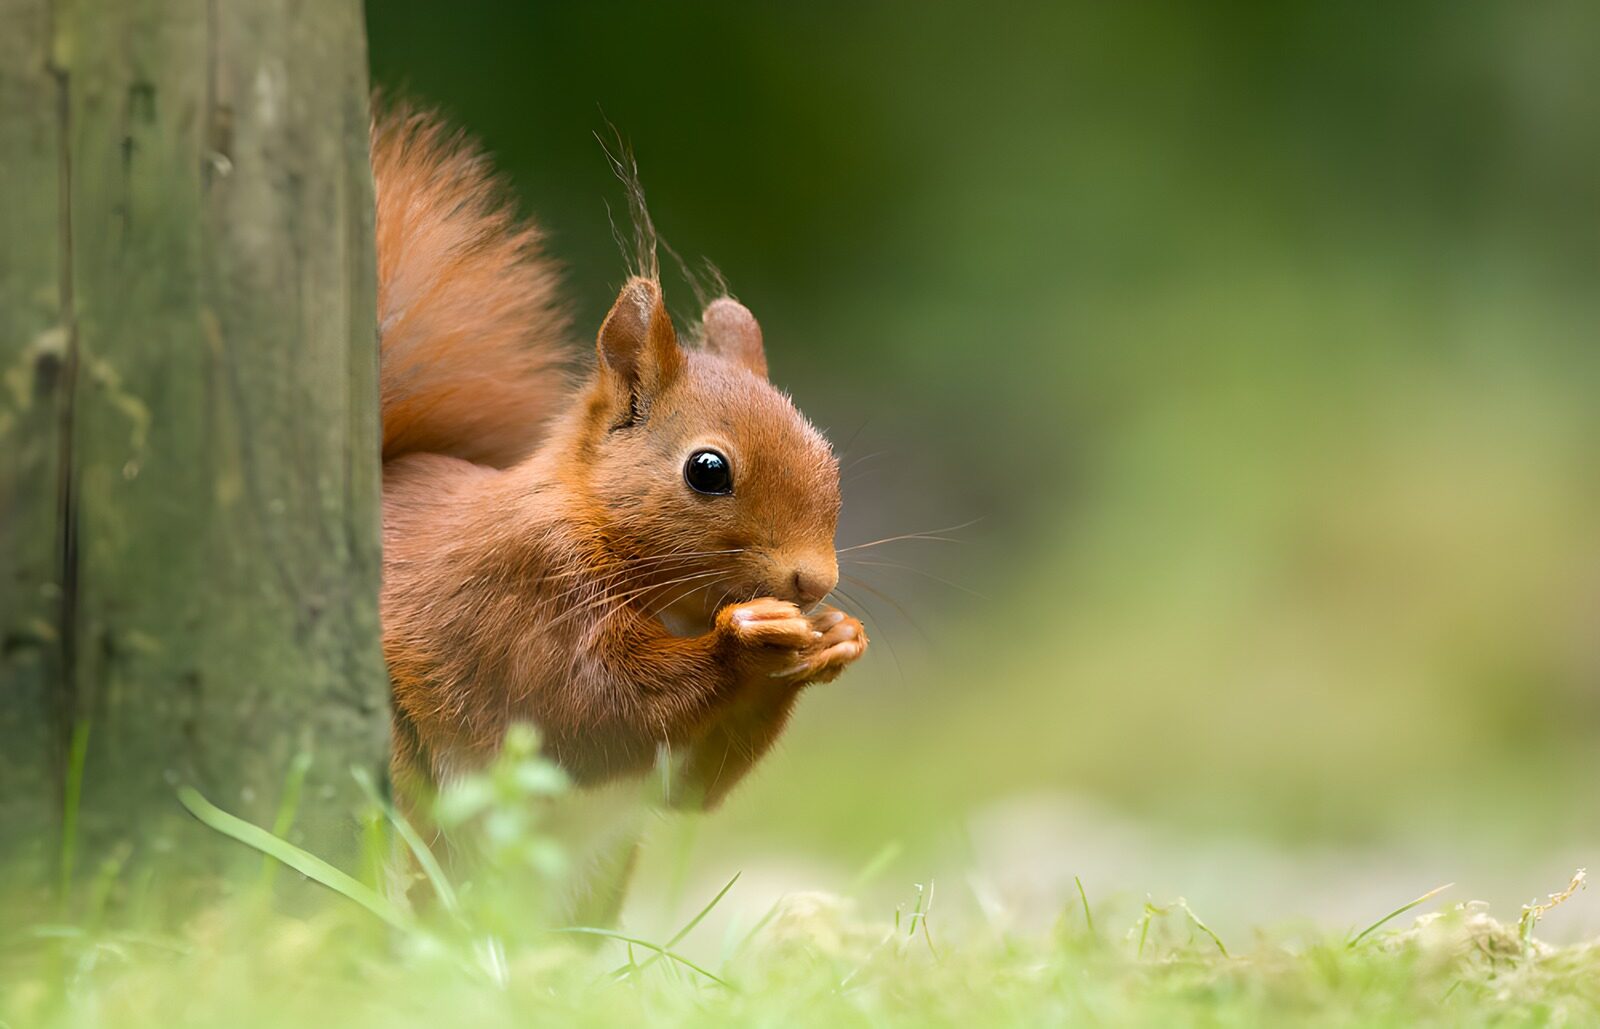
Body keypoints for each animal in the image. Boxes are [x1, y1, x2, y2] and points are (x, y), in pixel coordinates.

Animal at [371, 106, 868, 813]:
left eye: (829, 458)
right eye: (707, 470)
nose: (815, 583)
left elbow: (688, 787)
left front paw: (837, 637)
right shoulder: (526, 587)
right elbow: (589, 709)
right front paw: (745, 638)